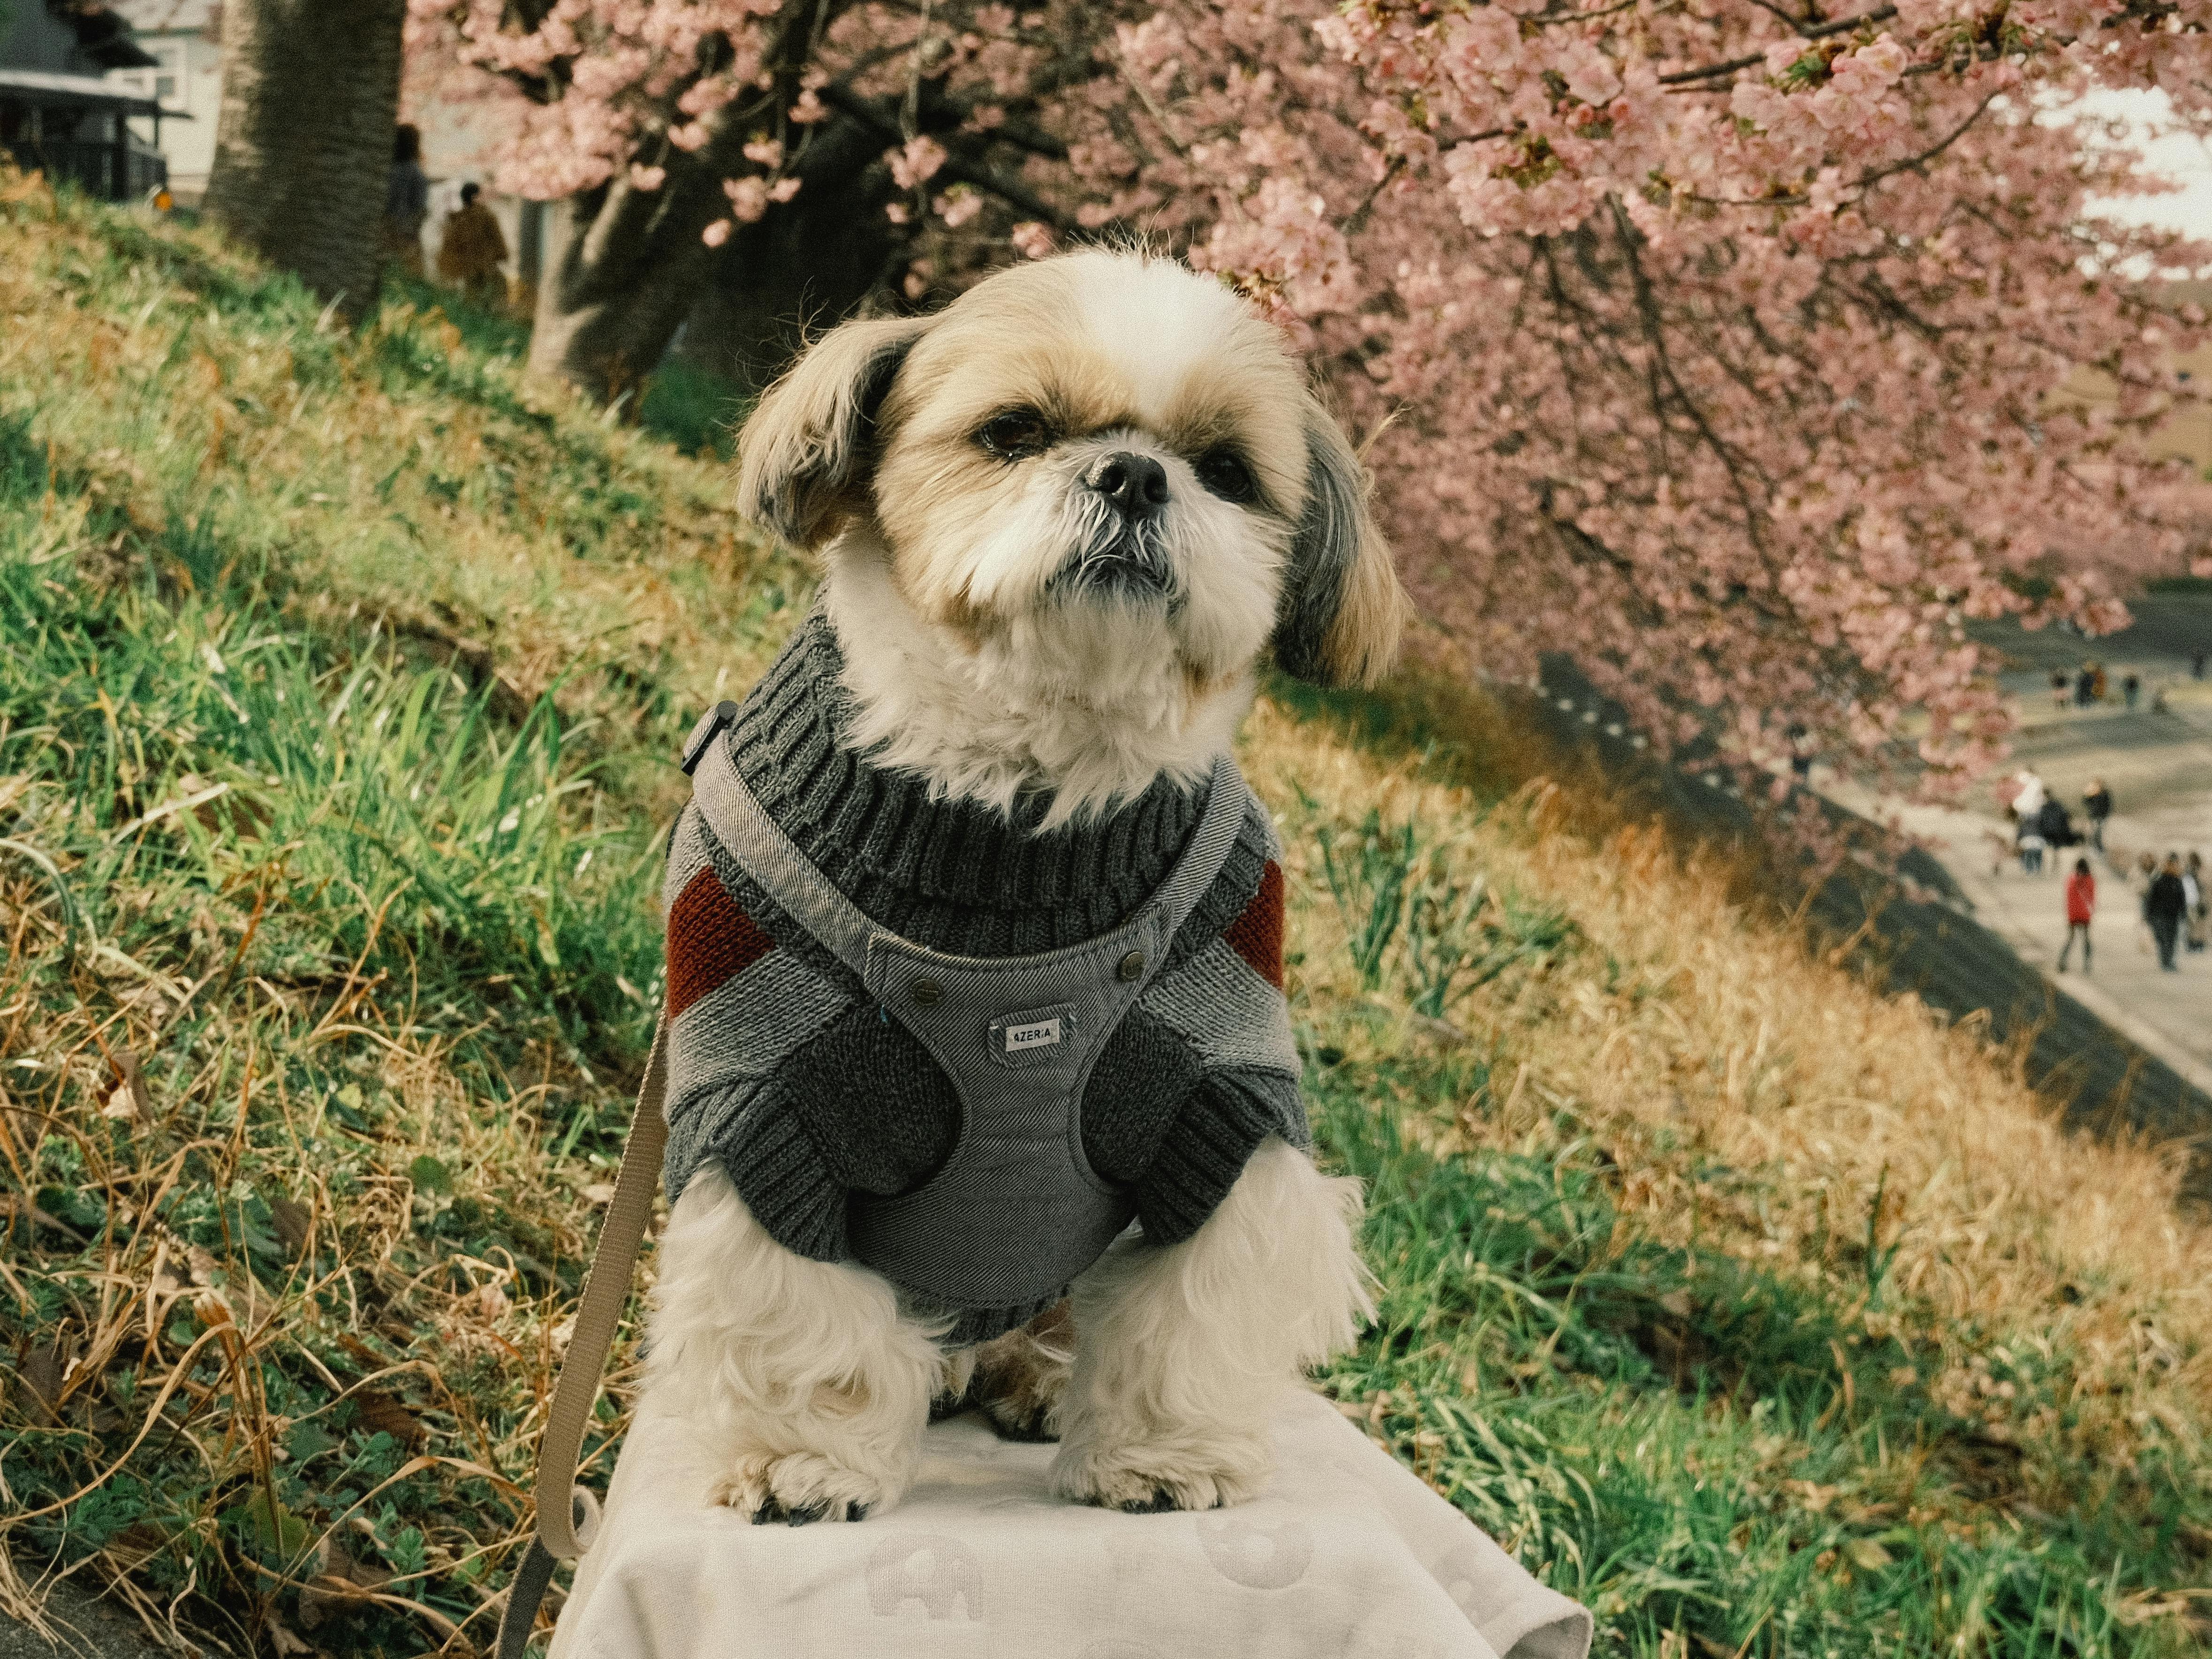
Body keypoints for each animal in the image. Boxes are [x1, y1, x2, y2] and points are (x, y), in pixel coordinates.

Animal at [632, 250, 1407, 1530]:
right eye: (1014, 431)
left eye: (1227, 472)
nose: (1134, 474)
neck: (1017, 816)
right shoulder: (763, 1116)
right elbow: (804, 1317)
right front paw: (804, 1461)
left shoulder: (1225, 1115)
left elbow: (1188, 1303)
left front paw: (1161, 1457)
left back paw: (1033, 1380)